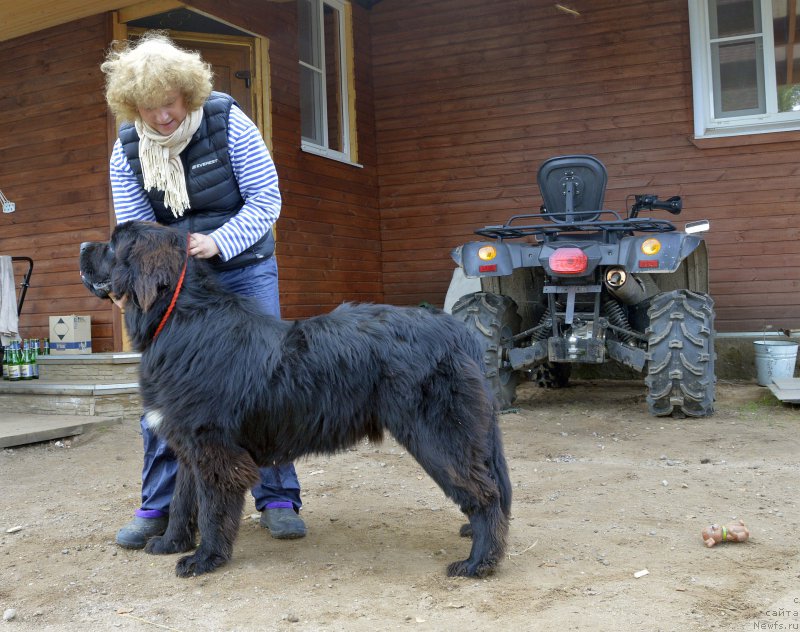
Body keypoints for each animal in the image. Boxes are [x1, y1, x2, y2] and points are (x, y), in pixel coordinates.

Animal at [78, 221, 510, 576]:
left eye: (113, 244)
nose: (82, 244)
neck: (180, 319)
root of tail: (457, 332)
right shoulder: (189, 443)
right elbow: (184, 500)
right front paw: (171, 543)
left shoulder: (214, 448)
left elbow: (211, 506)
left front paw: (205, 559)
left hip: (437, 437)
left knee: (485, 493)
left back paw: (480, 562)